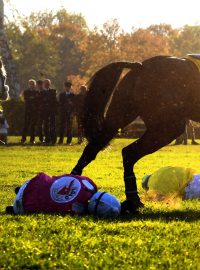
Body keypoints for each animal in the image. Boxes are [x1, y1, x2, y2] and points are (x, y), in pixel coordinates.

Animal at [70, 55, 200, 213]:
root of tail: (141, 66)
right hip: (168, 126)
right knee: (129, 152)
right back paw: (133, 200)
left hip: (119, 117)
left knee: (93, 148)